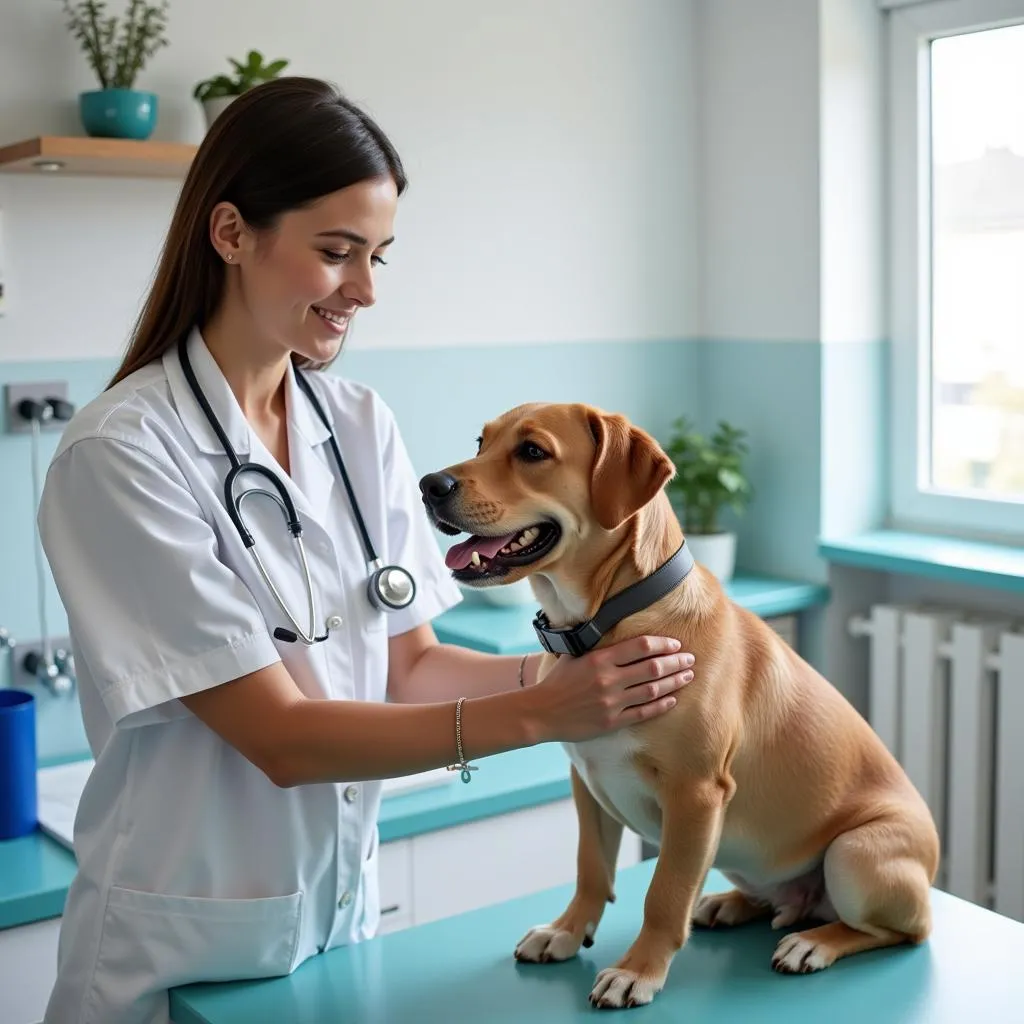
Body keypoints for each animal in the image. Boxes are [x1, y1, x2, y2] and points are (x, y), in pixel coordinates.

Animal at [417, 399, 942, 1007]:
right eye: (481, 442)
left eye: (532, 451)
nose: (429, 485)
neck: (609, 619)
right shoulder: (587, 782)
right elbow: (591, 868)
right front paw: (567, 932)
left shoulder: (695, 794)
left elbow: (664, 893)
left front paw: (638, 971)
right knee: (779, 901)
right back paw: (732, 905)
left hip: (854, 854)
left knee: (899, 930)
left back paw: (814, 943)